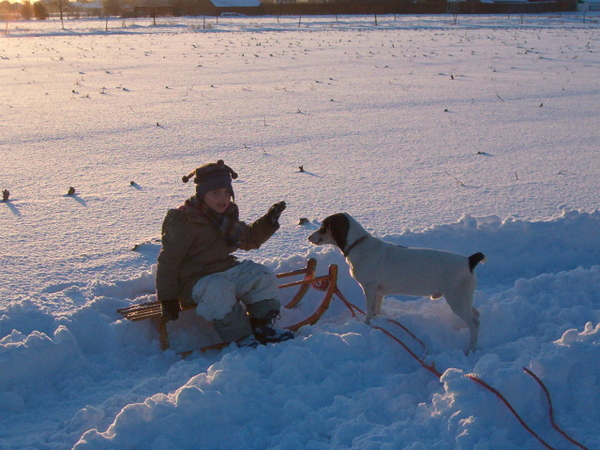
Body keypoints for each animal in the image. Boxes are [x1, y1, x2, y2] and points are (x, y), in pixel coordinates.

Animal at [308, 213, 486, 354]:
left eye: (323, 226)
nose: (309, 238)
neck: (358, 244)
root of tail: (469, 261)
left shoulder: (370, 288)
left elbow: (369, 310)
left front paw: (366, 324)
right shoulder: (379, 292)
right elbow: (376, 309)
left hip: (457, 300)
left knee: (475, 323)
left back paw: (471, 349)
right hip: (463, 299)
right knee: (476, 315)